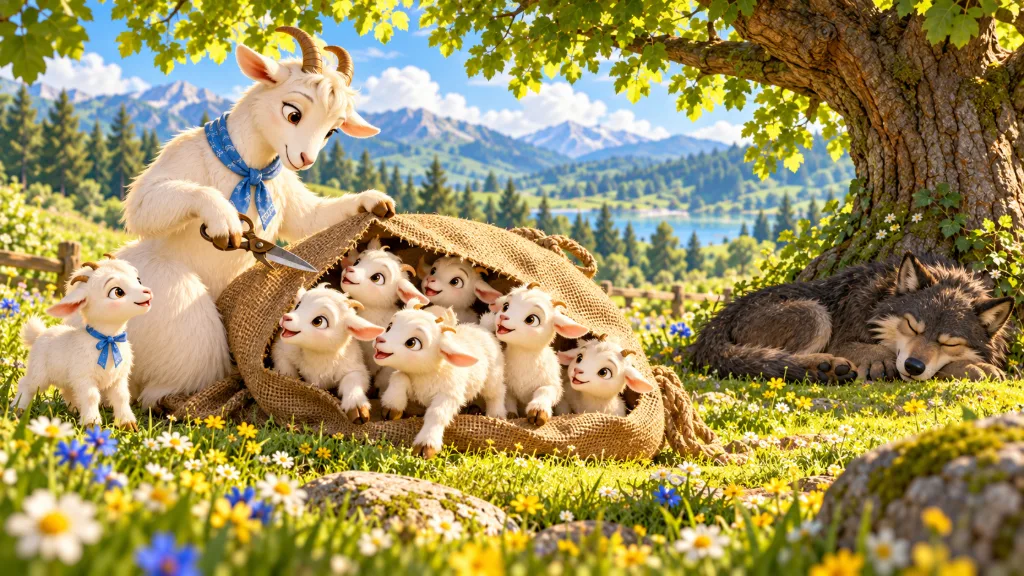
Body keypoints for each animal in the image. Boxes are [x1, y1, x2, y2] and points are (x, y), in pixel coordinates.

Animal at [691, 252, 1014, 382]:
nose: (913, 366)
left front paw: (976, 366)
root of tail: (719, 320)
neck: (876, 302)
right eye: (912, 327)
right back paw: (827, 368)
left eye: (949, 343)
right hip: (815, 314)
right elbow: (887, 355)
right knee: (780, 361)